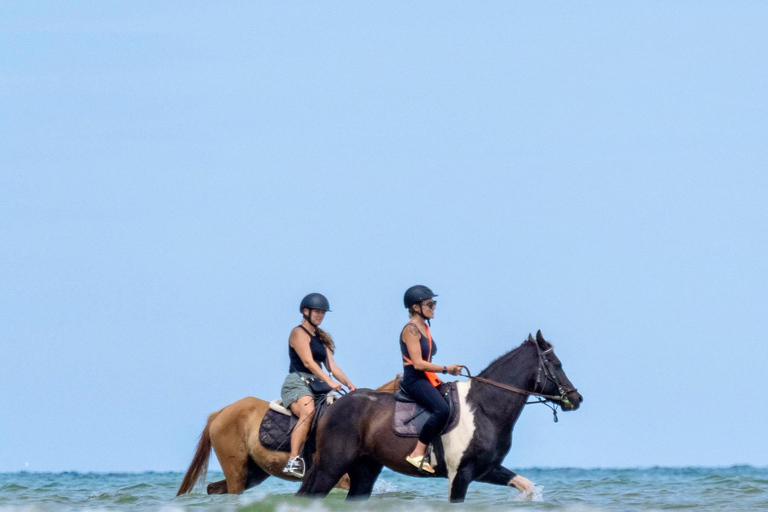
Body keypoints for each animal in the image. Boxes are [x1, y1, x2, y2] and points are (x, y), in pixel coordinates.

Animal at [296, 330, 584, 502]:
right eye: (557, 365)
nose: (576, 399)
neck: (484, 408)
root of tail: (334, 404)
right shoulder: (461, 474)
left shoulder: (486, 469)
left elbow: (526, 485)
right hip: (331, 466)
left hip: (364, 471)